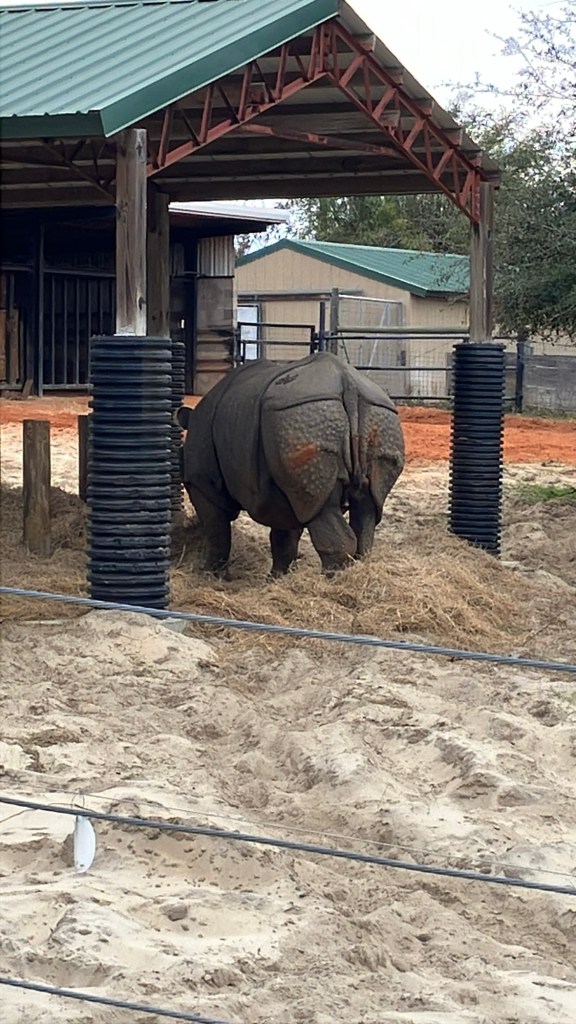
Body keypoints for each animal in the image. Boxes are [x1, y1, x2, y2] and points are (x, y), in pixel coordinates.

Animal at [177, 352, 405, 577]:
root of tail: (349, 384)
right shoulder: (286, 489)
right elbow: (285, 535)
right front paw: (279, 577)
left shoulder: (202, 481)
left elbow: (216, 529)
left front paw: (210, 575)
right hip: (376, 417)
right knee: (366, 505)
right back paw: (357, 569)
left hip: (306, 418)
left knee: (324, 509)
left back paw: (332, 579)